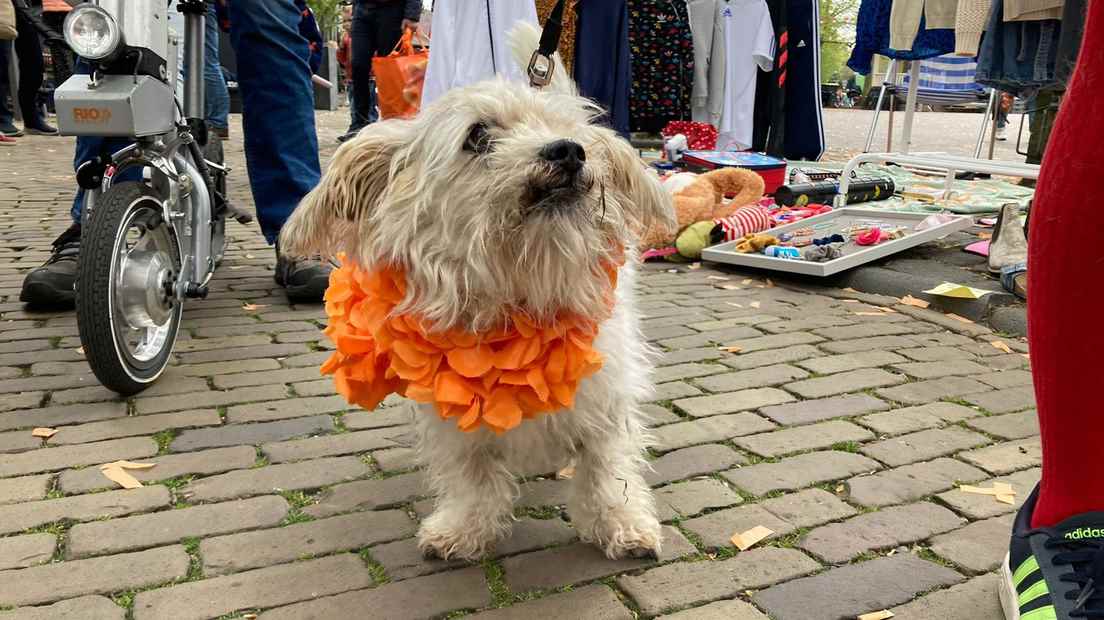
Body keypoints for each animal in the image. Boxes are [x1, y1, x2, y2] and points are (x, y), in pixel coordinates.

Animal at [280, 24, 675, 560]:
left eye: (567, 129)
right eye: (478, 136)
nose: (569, 150)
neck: (517, 291)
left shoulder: (606, 391)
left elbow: (606, 467)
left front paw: (620, 523)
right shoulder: (450, 417)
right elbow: (472, 473)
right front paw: (465, 527)